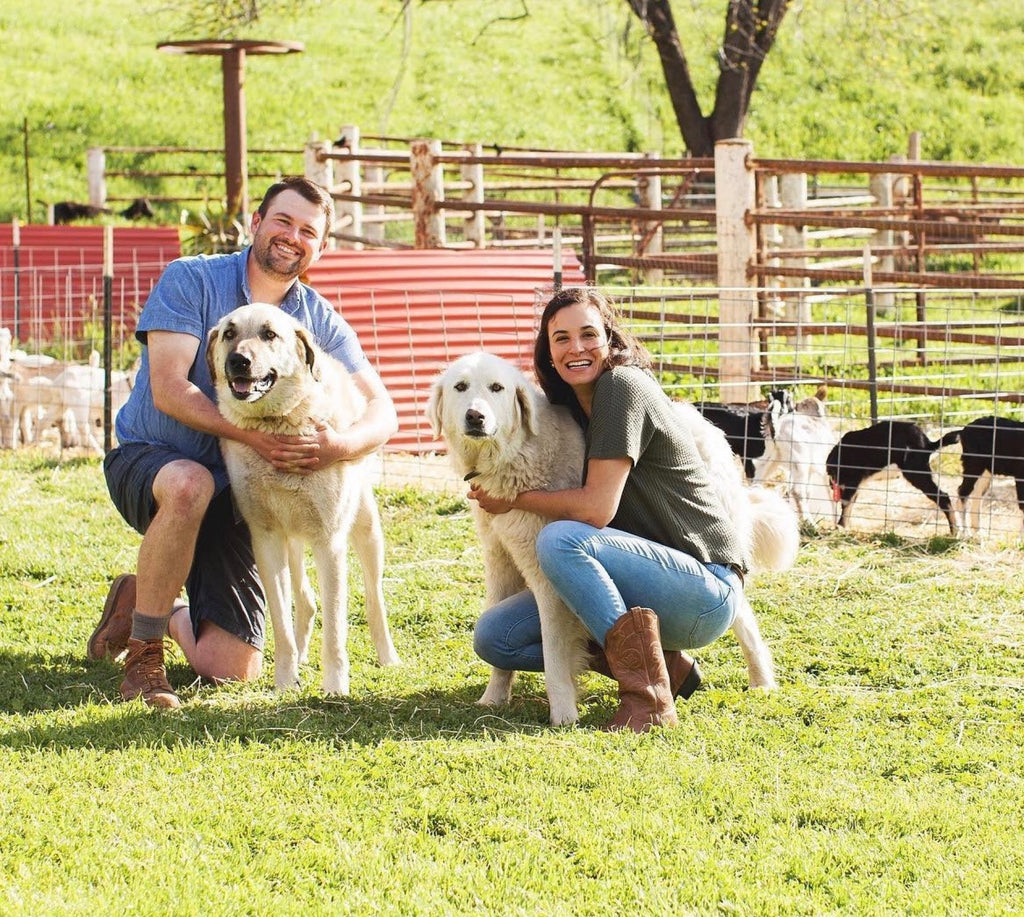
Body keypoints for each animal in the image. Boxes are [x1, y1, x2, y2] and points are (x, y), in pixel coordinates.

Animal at [206, 304, 399, 691]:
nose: (237, 361)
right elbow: (281, 621)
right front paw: (285, 680)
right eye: (229, 333)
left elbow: (336, 628)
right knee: (306, 601)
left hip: (366, 530)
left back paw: (388, 658)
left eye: (269, 334)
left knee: (375, 600)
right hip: (292, 541)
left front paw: (336, 687)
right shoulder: (266, 539)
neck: (277, 422)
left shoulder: (330, 542)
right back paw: (300, 656)